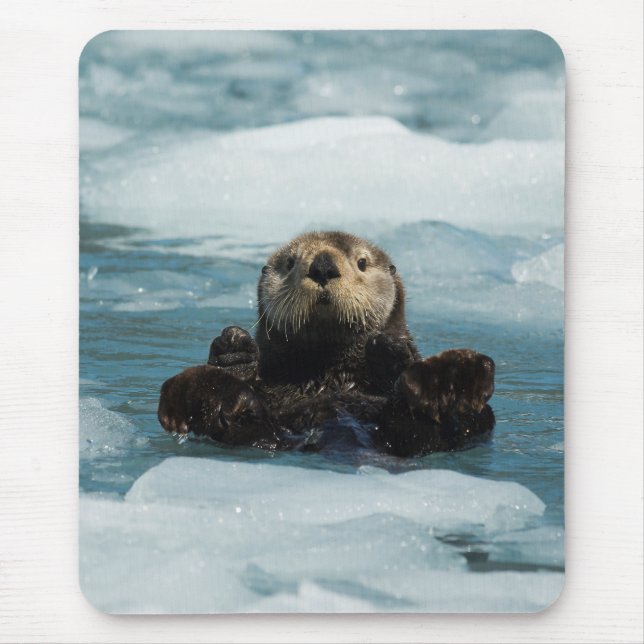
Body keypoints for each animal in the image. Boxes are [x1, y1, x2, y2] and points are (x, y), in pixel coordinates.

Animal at [158, 231, 495, 456]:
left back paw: (447, 382)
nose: (322, 266)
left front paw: (387, 348)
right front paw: (234, 350)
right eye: (290, 262)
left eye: (362, 262)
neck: (329, 376)